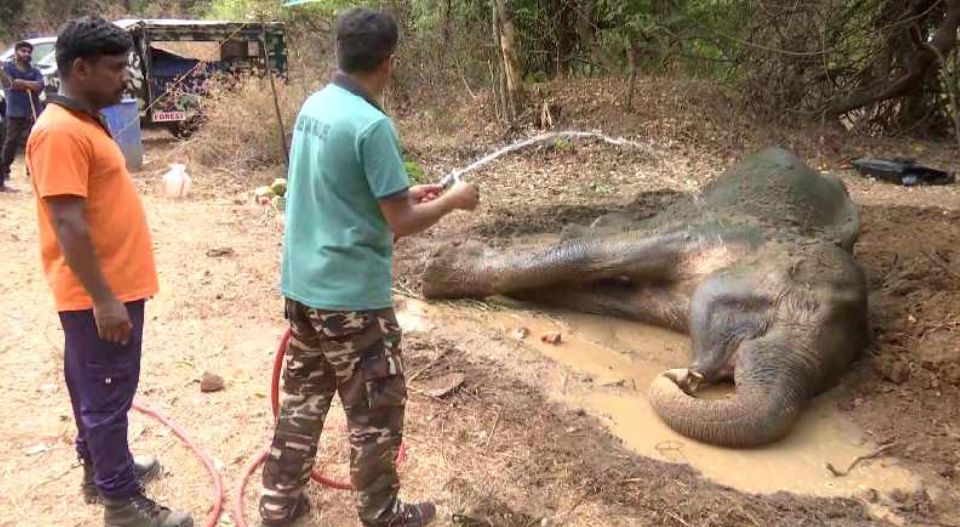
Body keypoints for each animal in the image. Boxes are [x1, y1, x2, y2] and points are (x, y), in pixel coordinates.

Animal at [422, 148, 872, 450]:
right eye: (769, 312)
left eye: (836, 373)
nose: (685, 377)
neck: (787, 238)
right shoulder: (707, 231)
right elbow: (597, 251)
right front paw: (438, 268)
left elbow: (606, 295)